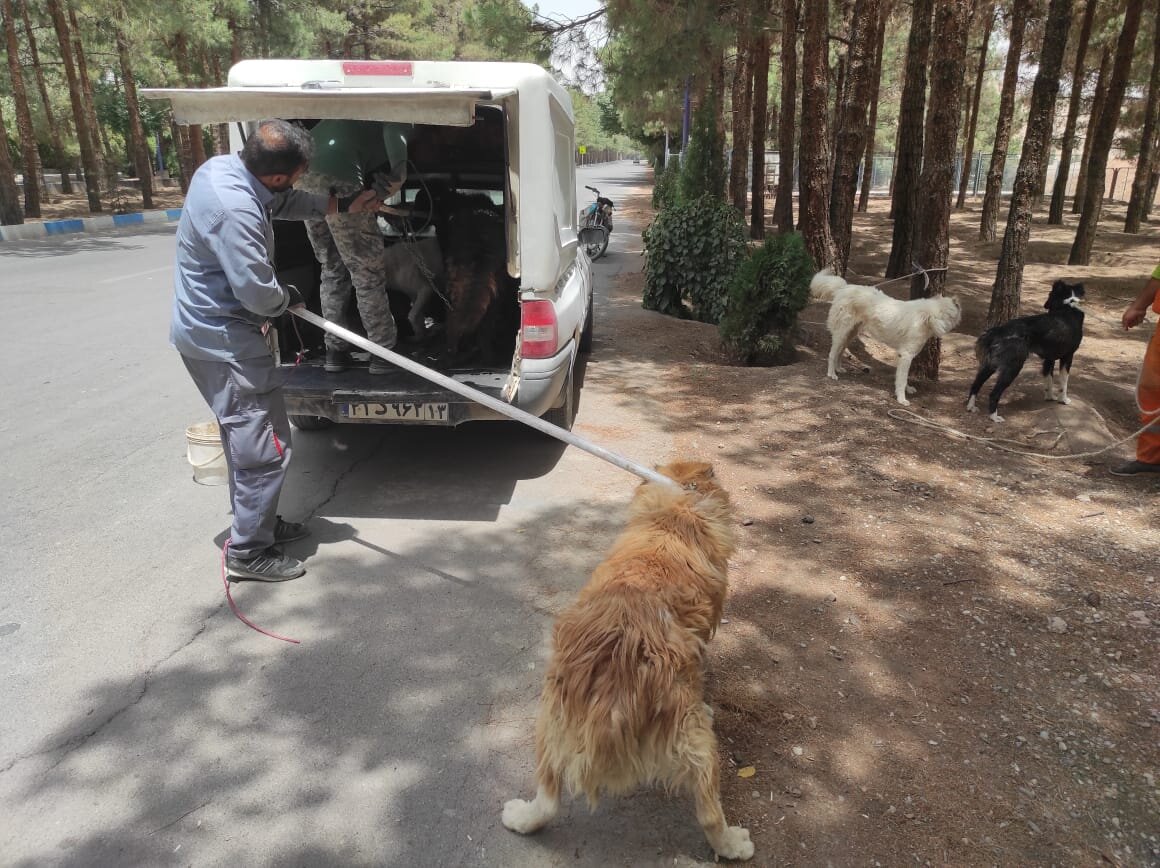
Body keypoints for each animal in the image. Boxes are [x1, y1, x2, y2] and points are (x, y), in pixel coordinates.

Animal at [498, 461, 751, 863]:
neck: (679, 504)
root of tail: (618, 679)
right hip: (694, 739)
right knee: (710, 812)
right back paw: (734, 845)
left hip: (550, 719)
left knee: (549, 797)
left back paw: (521, 818)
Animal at [807, 269, 960, 406]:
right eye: (944, 317)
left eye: (948, 317)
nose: (942, 328)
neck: (927, 316)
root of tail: (844, 288)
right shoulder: (906, 355)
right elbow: (902, 379)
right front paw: (901, 399)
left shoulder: (904, 356)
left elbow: (903, 378)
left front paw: (907, 390)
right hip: (841, 333)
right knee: (832, 354)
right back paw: (831, 374)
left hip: (849, 334)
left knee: (840, 352)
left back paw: (839, 369)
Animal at [965, 279, 1081, 422]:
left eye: (1049, 294)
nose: (1045, 305)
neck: (1067, 307)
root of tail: (1000, 330)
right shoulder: (1068, 357)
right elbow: (1064, 382)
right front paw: (1063, 400)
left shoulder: (1049, 359)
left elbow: (1049, 380)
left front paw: (1050, 397)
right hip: (1013, 367)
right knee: (994, 393)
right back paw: (994, 417)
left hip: (990, 365)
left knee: (975, 384)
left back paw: (971, 407)